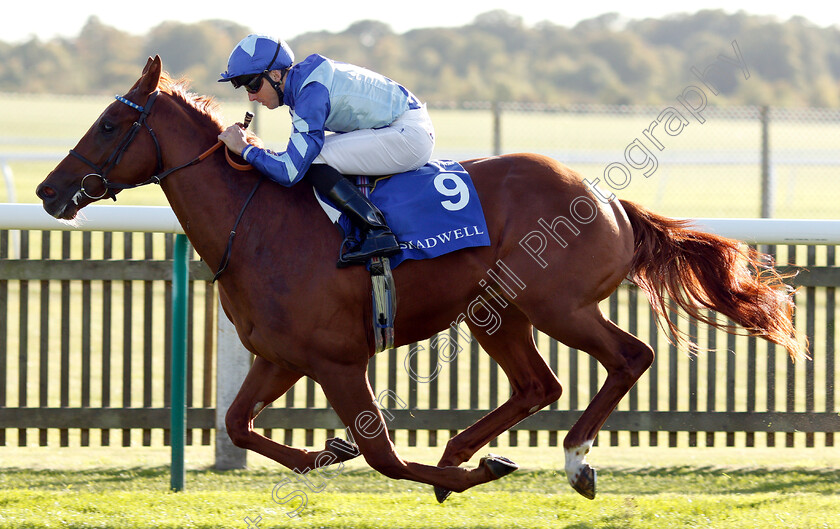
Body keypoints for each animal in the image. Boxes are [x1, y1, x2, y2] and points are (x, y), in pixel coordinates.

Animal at [37, 57, 800, 500]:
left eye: (109, 125)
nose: (49, 190)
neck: (254, 223)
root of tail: (607, 199)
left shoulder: (338, 360)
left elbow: (383, 455)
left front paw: (460, 475)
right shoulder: (280, 357)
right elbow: (239, 424)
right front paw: (327, 449)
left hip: (556, 304)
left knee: (628, 356)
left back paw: (572, 459)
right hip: (496, 311)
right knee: (540, 384)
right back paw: (470, 446)